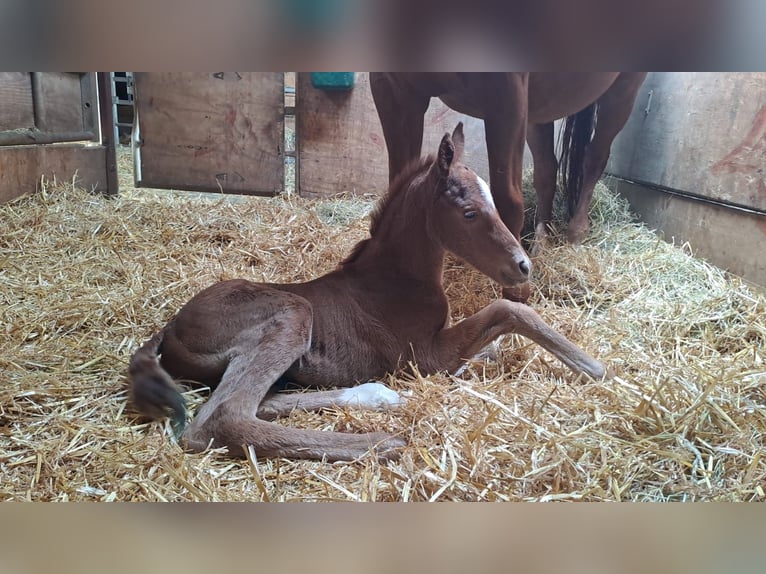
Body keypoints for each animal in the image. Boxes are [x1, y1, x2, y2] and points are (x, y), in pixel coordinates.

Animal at [129, 122, 608, 464]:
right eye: (470, 212)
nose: (523, 265)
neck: (396, 279)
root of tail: (169, 328)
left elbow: (490, 345)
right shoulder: (425, 357)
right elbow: (509, 310)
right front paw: (594, 367)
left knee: (264, 402)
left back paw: (376, 396)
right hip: (293, 312)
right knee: (222, 419)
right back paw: (381, 442)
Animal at [372, 73, 648, 292]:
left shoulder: (505, 91)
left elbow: (509, 200)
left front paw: (518, 295)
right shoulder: (393, 88)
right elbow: (399, 179)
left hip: (623, 89)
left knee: (594, 159)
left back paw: (576, 234)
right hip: (539, 107)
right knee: (547, 169)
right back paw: (540, 244)